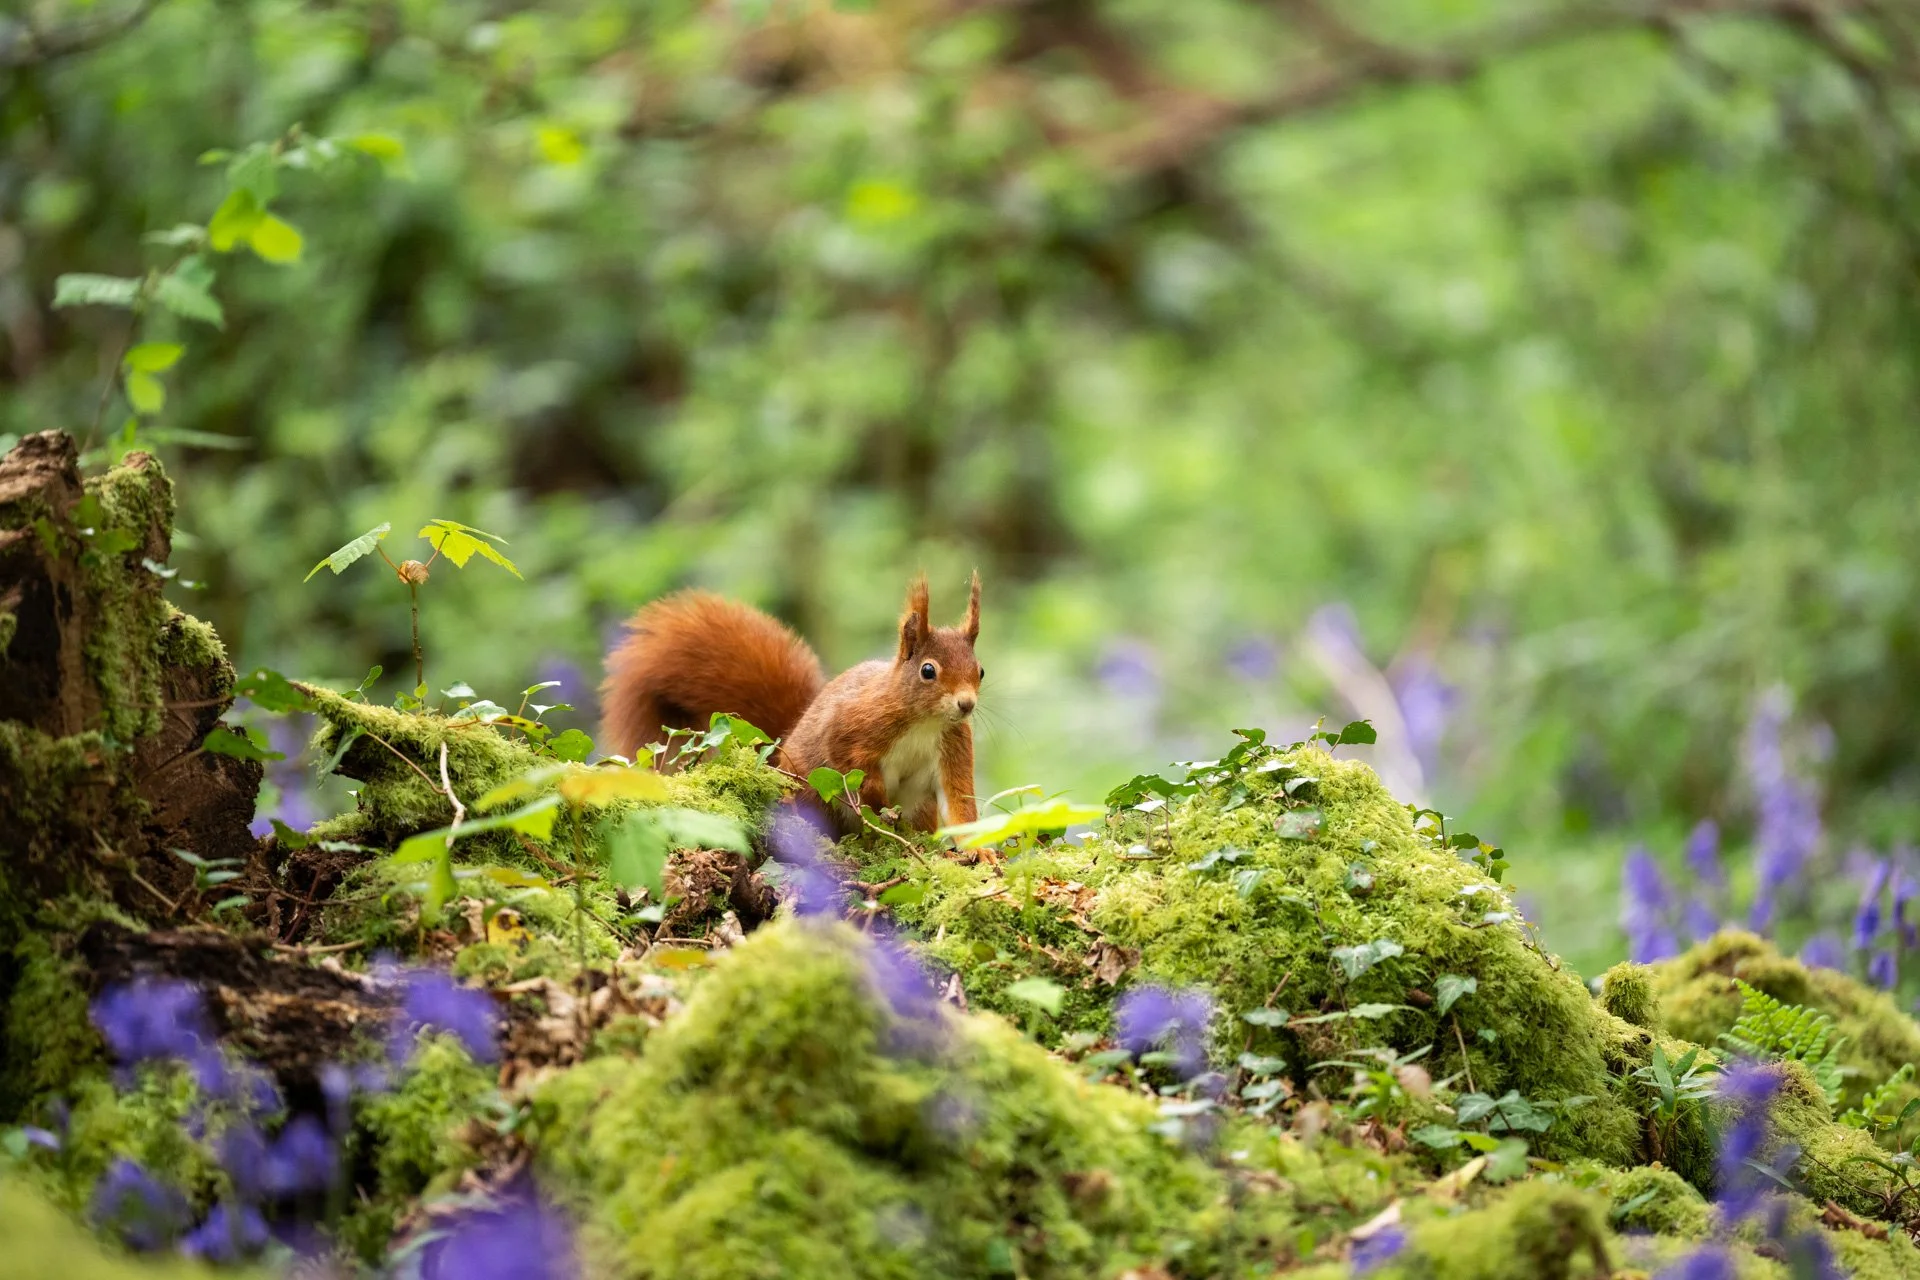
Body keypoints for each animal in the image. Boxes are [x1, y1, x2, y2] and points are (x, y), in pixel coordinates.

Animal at [599, 573, 983, 834]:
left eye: (979, 670)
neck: (925, 721)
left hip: (921, 808)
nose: (966, 704)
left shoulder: (953, 744)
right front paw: (877, 800)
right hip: (809, 793)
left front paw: (980, 853)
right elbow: (845, 755)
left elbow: (959, 800)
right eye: (928, 671)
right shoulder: (856, 723)